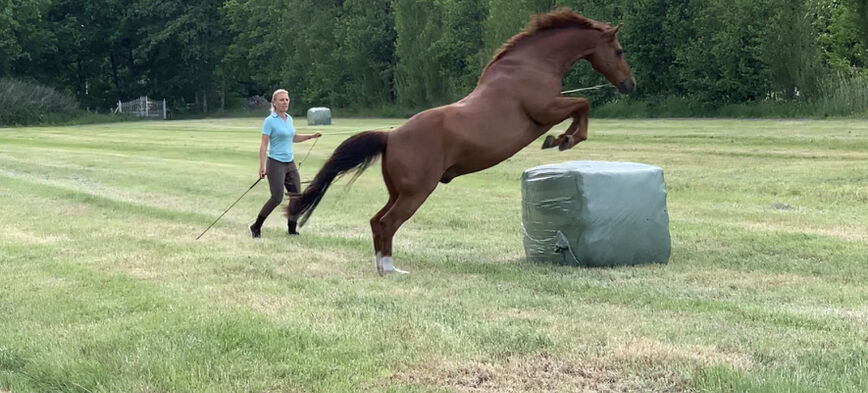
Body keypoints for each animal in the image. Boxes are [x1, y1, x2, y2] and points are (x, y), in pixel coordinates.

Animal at [288, 8, 636, 272]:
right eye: (618, 51)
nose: (629, 85)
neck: (530, 65)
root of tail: (391, 136)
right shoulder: (545, 110)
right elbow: (583, 105)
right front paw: (563, 139)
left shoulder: (551, 108)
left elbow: (581, 107)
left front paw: (562, 138)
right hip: (416, 192)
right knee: (387, 223)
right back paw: (389, 270)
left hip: (399, 191)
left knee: (377, 221)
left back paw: (385, 266)